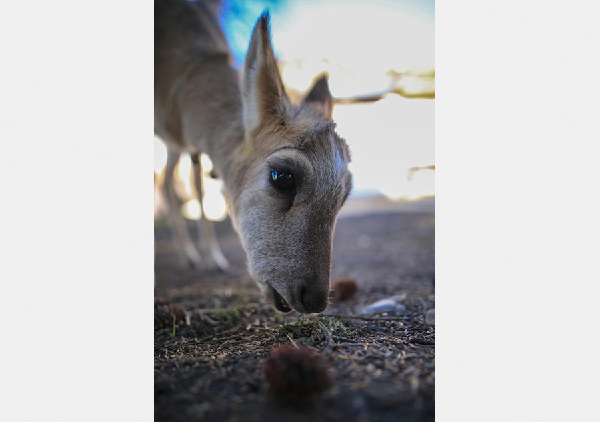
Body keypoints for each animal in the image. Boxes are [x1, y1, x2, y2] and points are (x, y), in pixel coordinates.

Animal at [154, 0, 352, 314]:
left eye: (344, 195)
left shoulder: (195, 144)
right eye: (282, 176)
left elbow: (199, 185)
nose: (316, 300)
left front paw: (213, 258)